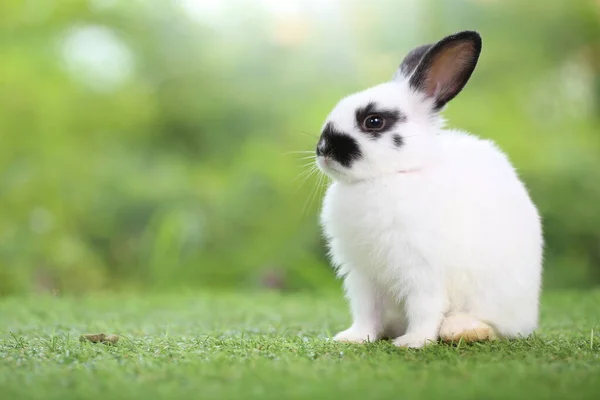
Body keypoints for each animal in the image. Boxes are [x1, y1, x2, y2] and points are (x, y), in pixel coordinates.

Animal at [314, 30, 544, 346]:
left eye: (374, 121)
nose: (323, 149)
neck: (390, 175)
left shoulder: (422, 271)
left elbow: (424, 308)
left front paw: (413, 342)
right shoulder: (362, 276)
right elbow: (367, 312)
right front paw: (354, 338)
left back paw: (461, 329)